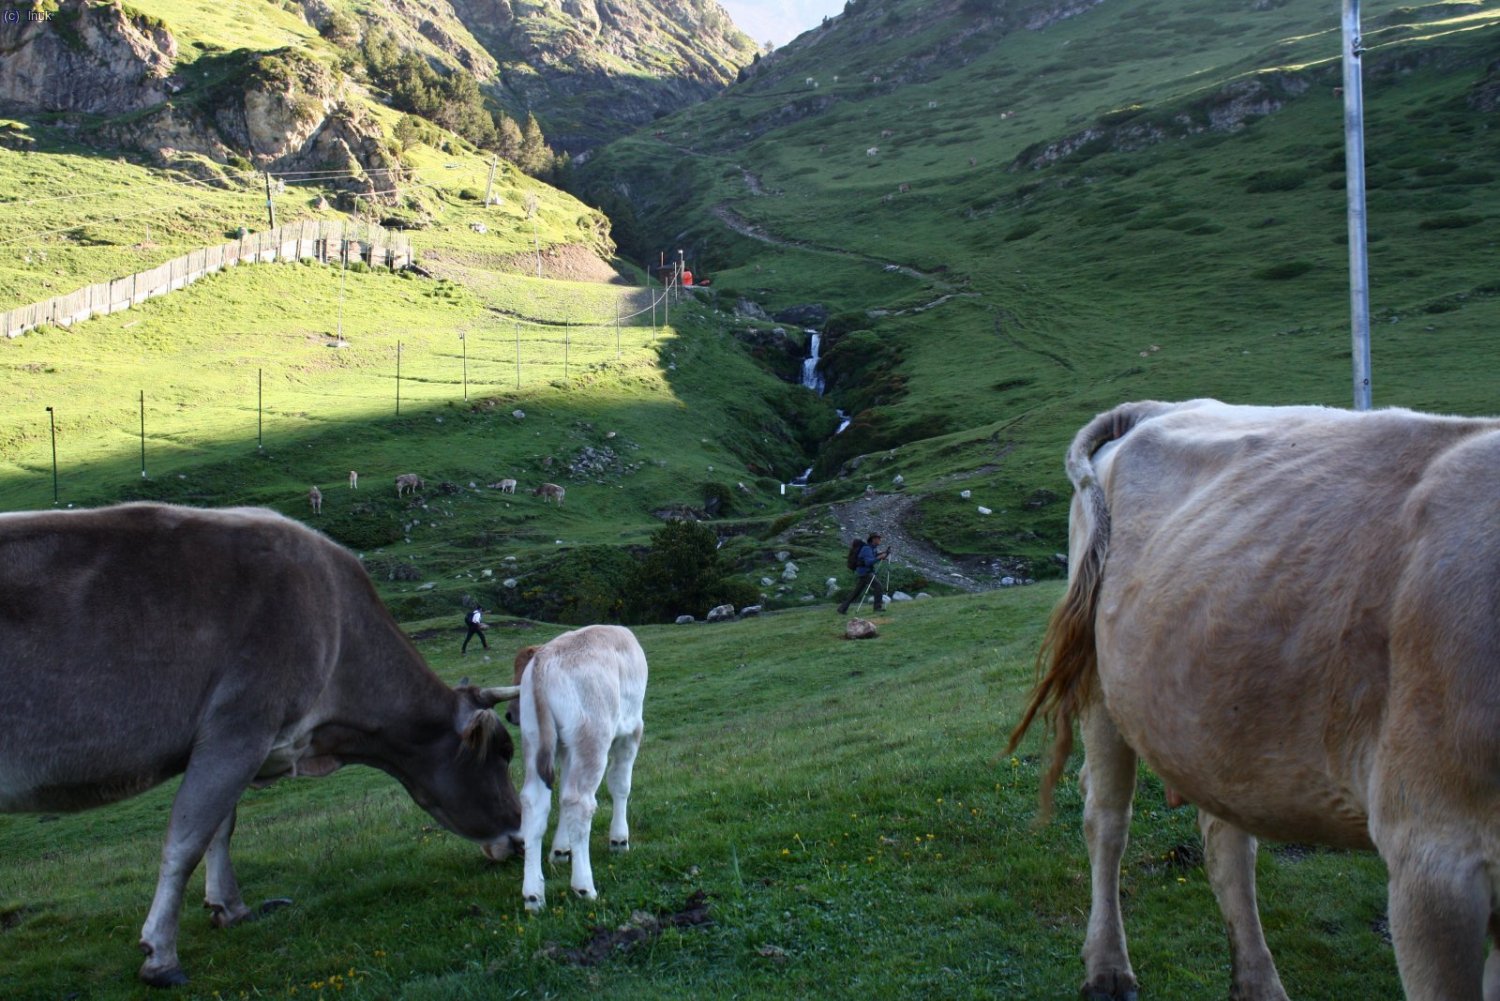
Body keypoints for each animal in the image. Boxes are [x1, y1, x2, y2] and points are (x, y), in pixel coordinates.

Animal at [0, 503, 523, 988]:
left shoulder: (234, 740)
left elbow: (221, 828)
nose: (520, 837)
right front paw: (160, 955)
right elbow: (186, 840)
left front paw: (230, 908)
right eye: (503, 752)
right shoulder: (240, 726)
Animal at [484, 625, 647, 912]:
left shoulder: (564, 747)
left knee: (535, 802)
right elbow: (620, 785)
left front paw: (560, 850)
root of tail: (544, 659)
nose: (511, 715)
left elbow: (559, 796)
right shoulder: (632, 729)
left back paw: (533, 894)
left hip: (536, 737)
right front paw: (619, 839)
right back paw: (584, 887)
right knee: (579, 801)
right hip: (592, 734)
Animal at [1008, 400, 1500, 1001]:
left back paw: (1257, 981)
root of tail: (1159, 407)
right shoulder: (1432, 855)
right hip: (1102, 685)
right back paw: (1107, 969)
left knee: (1226, 839)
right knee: (1106, 818)